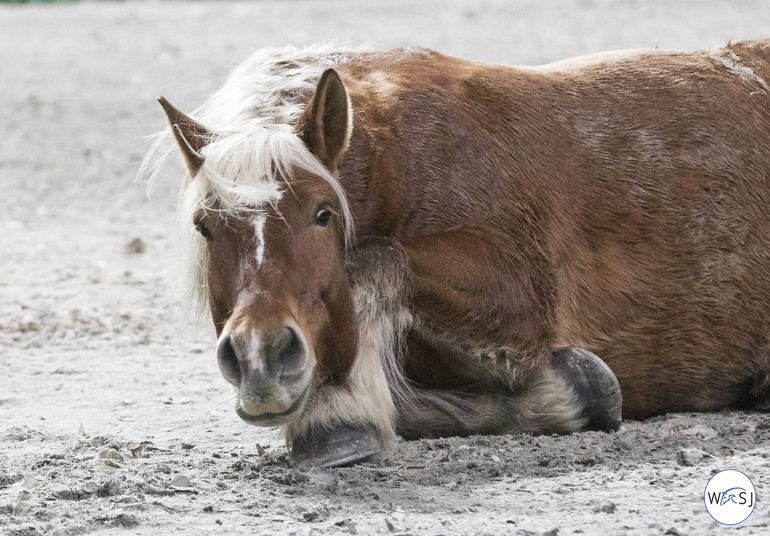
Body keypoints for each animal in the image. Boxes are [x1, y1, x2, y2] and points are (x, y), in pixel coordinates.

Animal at [140, 40, 768, 464]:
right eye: (205, 227)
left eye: (323, 213)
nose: (260, 359)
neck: (395, 157)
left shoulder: (521, 301)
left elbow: (374, 261)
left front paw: (335, 410)